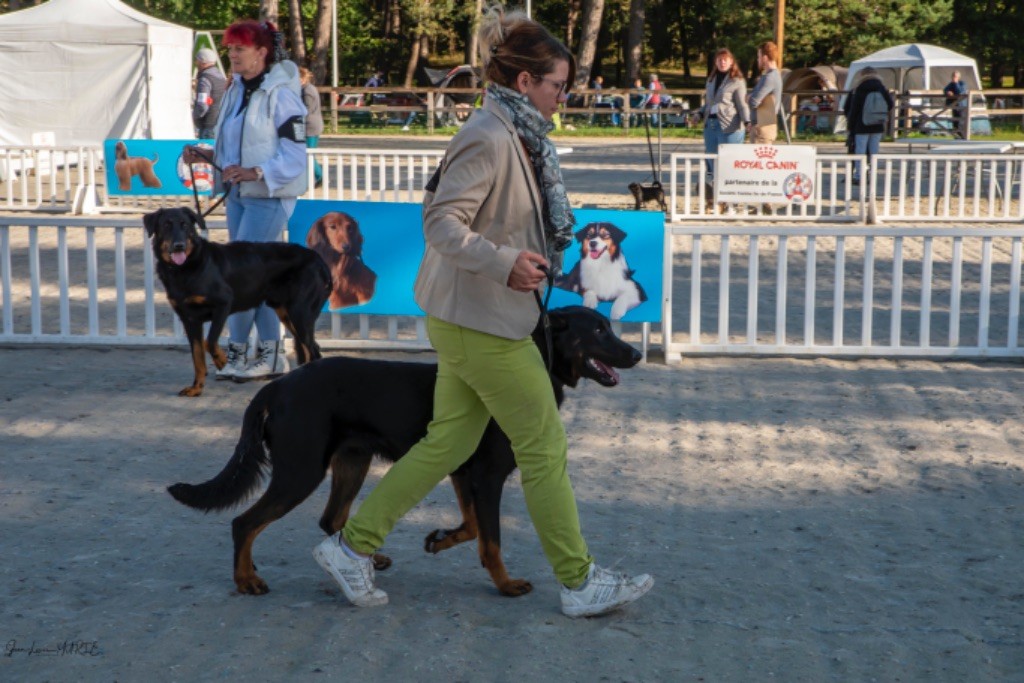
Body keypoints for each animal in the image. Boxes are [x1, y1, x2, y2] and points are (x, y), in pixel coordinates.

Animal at [141, 209, 327, 401]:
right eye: (166, 225)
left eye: (185, 225)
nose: (179, 246)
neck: (185, 268)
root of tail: (318, 259)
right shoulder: (190, 320)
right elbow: (197, 357)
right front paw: (196, 388)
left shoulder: (223, 304)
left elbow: (210, 341)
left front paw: (222, 361)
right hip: (286, 313)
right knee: (311, 348)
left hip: (300, 313)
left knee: (314, 351)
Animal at [167, 307, 638, 593]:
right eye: (598, 329)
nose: (634, 353)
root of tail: (278, 387)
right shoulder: (487, 477)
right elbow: (493, 539)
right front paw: (506, 585)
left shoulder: (461, 472)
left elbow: (474, 528)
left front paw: (440, 539)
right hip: (300, 472)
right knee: (244, 523)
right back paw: (246, 580)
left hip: (351, 463)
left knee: (330, 518)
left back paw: (366, 559)